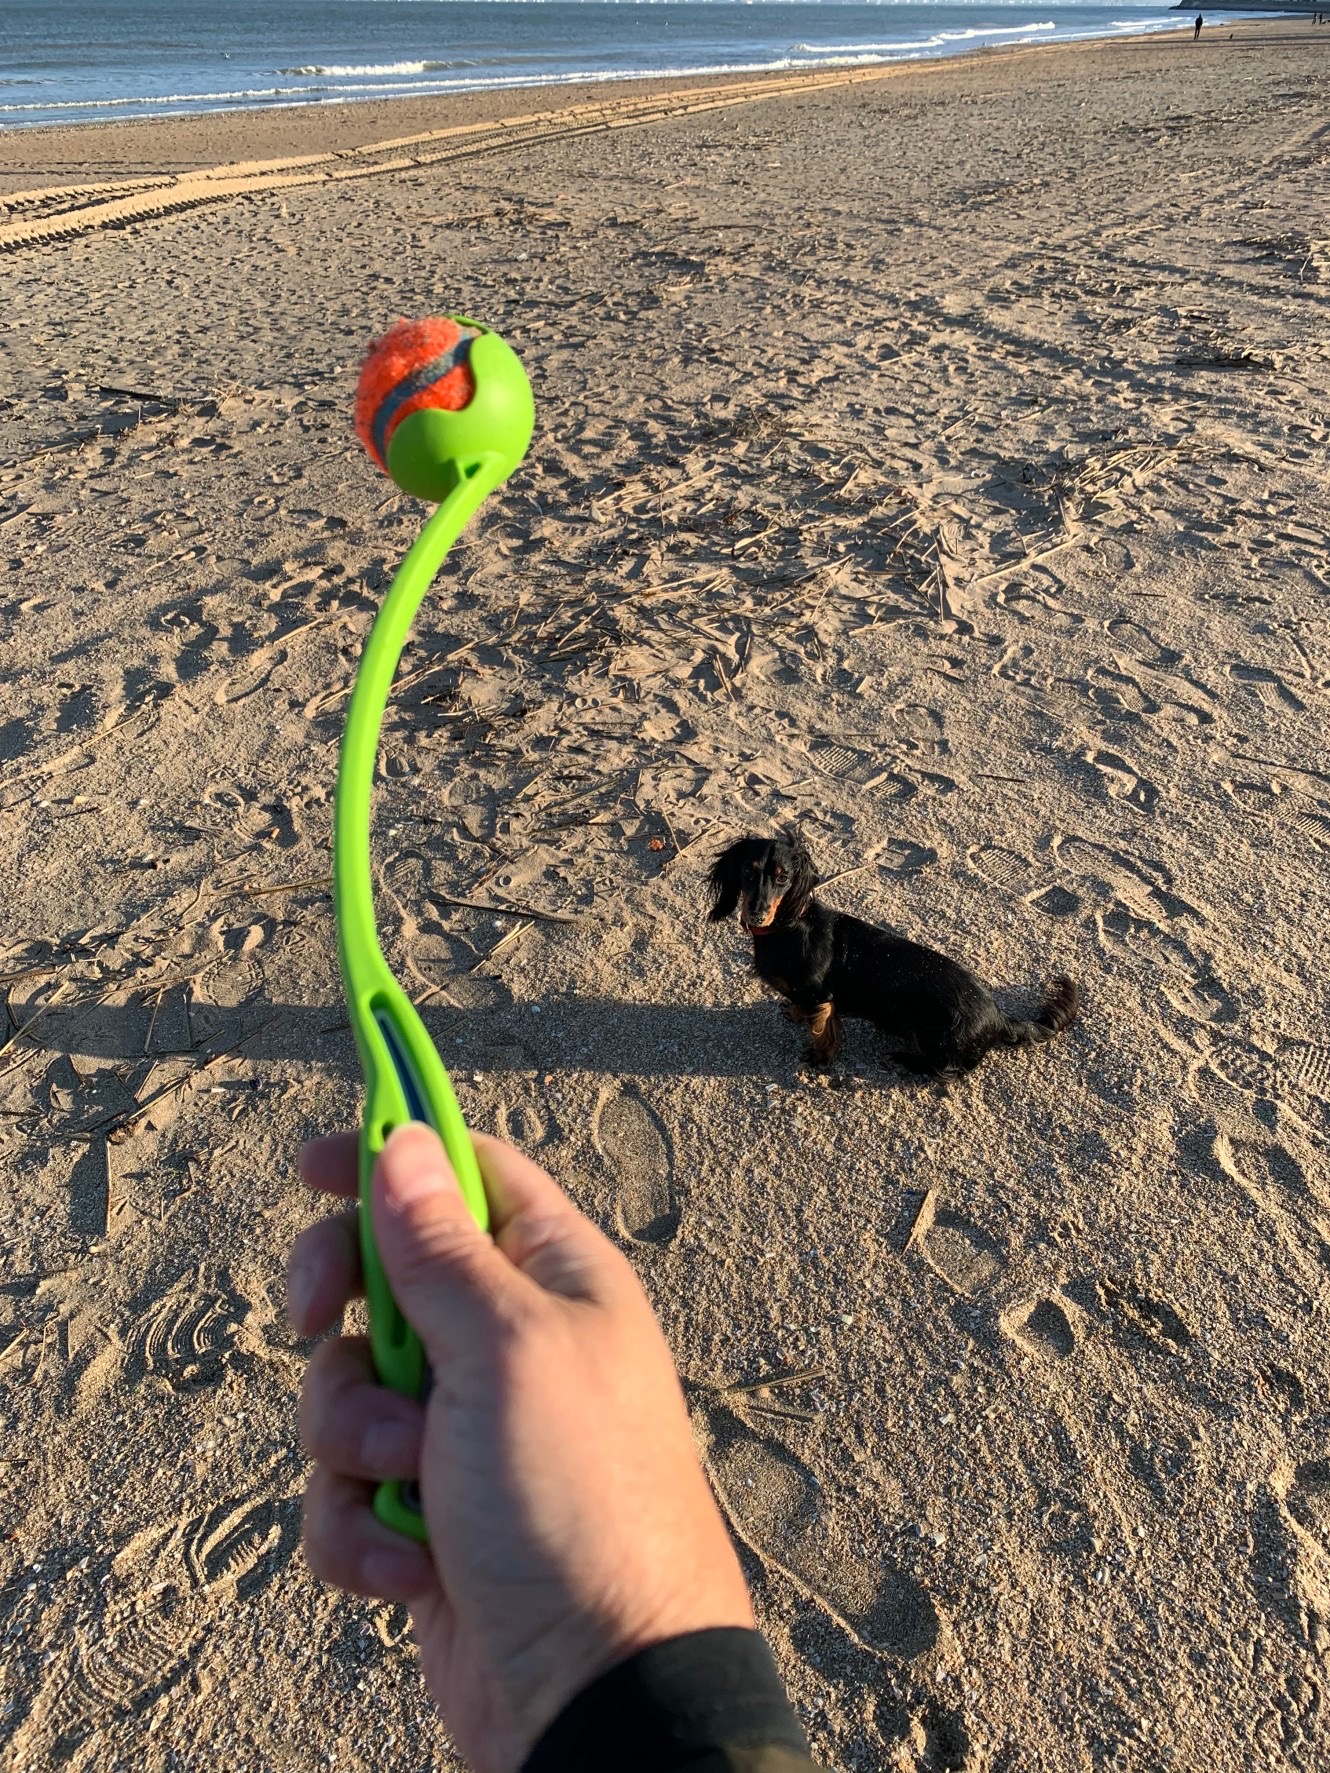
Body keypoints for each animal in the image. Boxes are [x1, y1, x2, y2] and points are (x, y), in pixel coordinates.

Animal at [709, 822, 1085, 1070]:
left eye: (783, 877)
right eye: (746, 871)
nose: (757, 915)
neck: (787, 925)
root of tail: (999, 1017)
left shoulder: (823, 995)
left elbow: (823, 1027)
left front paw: (820, 1056)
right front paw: (796, 1013)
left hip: (937, 1038)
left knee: (946, 1070)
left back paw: (904, 1060)